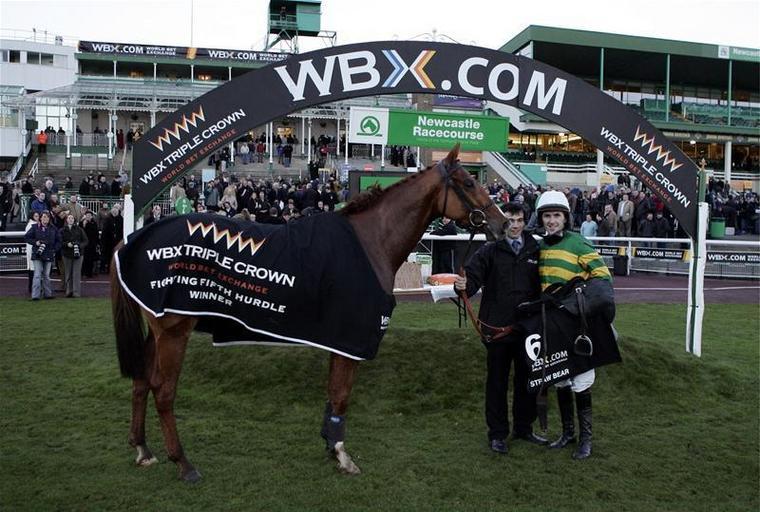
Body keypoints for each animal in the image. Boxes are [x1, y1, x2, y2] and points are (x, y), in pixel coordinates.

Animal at [111, 145, 507, 482]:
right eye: (469, 182)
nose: (503, 223)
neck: (371, 242)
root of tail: (136, 239)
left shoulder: (339, 340)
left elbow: (333, 393)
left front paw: (331, 445)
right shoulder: (352, 339)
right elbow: (342, 395)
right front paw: (343, 455)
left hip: (157, 332)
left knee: (141, 382)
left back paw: (143, 448)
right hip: (174, 330)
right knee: (163, 391)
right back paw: (183, 462)